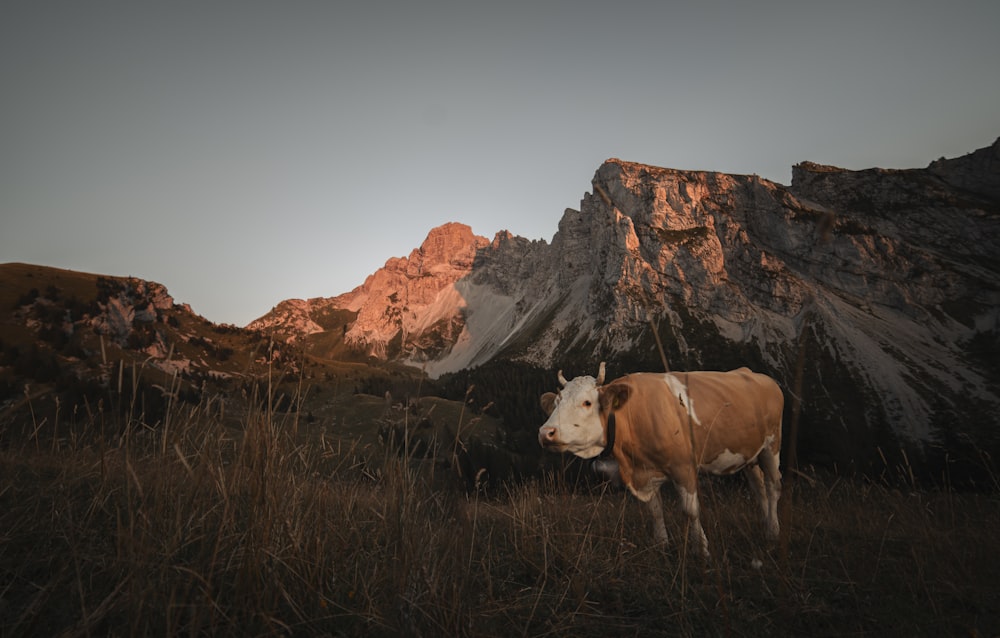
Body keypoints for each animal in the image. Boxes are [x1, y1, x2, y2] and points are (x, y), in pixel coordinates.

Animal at [540, 362, 780, 556]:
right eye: (556, 403)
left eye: (587, 402)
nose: (545, 432)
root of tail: (752, 373)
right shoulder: (644, 472)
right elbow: (654, 511)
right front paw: (662, 546)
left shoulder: (684, 467)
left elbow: (690, 511)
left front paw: (702, 550)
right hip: (749, 454)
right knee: (758, 487)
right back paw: (765, 525)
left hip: (771, 446)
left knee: (772, 487)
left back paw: (773, 531)